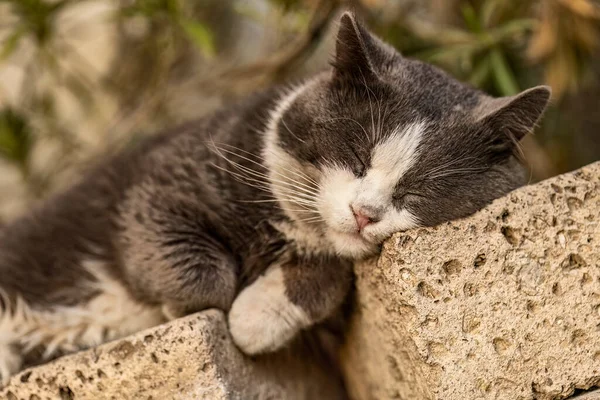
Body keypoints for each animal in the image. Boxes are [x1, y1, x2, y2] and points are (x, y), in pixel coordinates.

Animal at [0, 11, 552, 382]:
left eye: (420, 188)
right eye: (356, 155)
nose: (364, 213)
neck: (287, 229)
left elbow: (330, 277)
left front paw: (254, 319)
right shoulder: (159, 185)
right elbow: (206, 275)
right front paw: (185, 306)